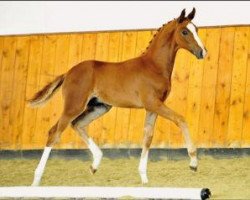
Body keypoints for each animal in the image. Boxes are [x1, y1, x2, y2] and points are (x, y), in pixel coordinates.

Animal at [28, 7, 207, 186]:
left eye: (196, 29)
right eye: (184, 31)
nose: (202, 52)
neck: (153, 66)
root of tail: (68, 73)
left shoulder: (153, 107)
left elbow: (148, 137)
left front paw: (144, 177)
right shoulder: (153, 103)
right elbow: (180, 119)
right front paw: (193, 163)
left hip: (100, 107)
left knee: (78, 124)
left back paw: (95, 164)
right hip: (74, 105)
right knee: (54, 132)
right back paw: (36, 179)